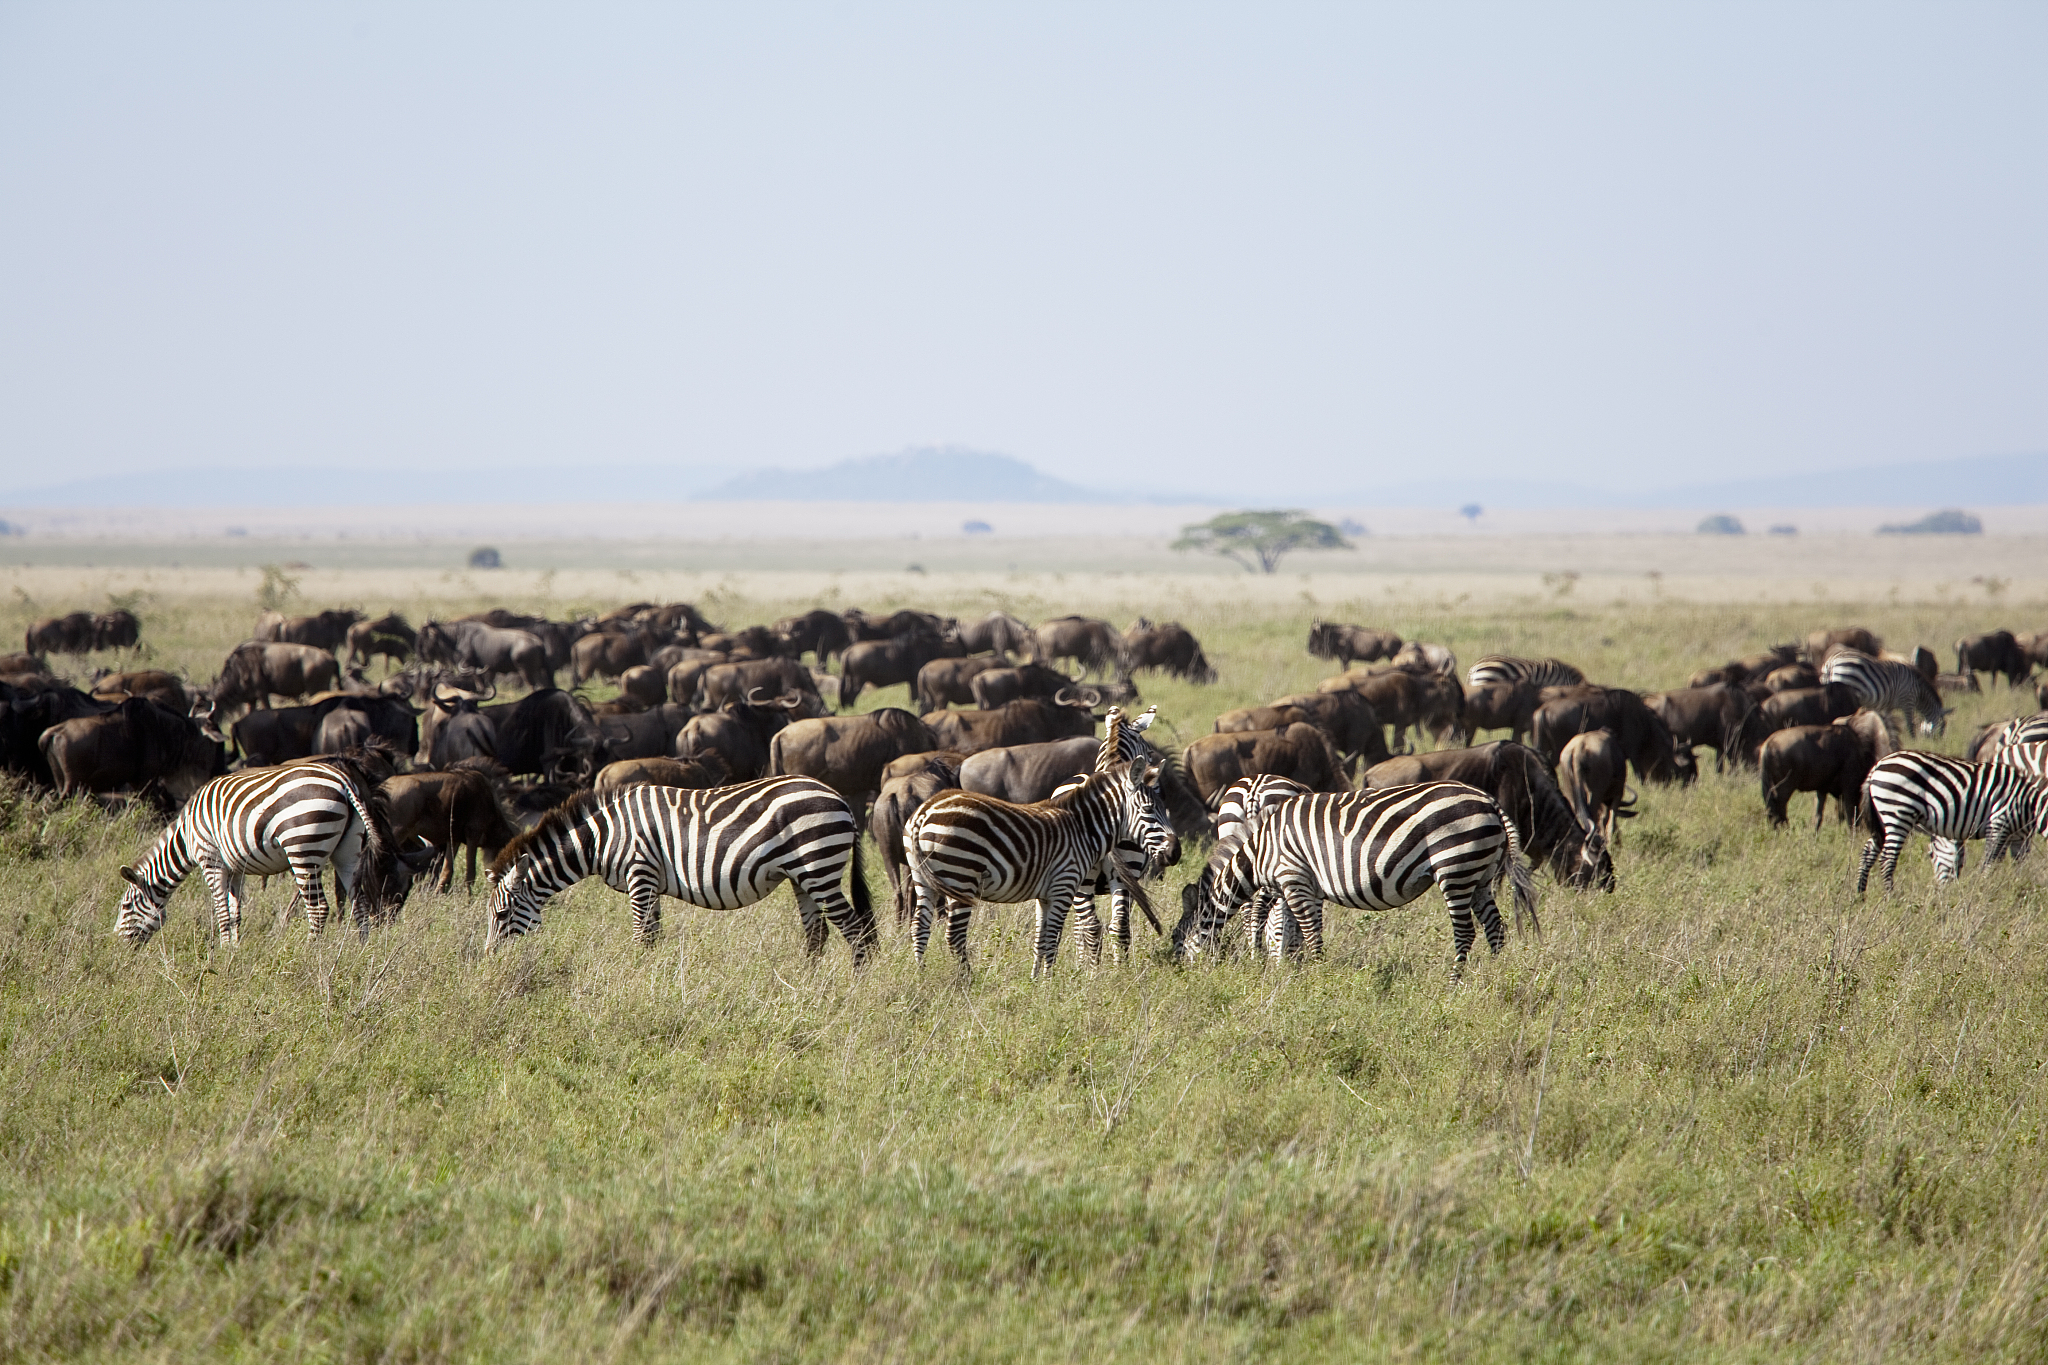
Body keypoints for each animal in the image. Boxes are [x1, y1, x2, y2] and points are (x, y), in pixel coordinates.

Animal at [116, 757, 405, 946]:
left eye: (126, 905)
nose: (118, 945)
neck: (187, 836)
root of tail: (343, 780)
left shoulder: (211, 859)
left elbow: (221, 910)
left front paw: (222, 953)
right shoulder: (235, 867)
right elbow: (235, 912)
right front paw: (234, 950)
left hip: (304, 848)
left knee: (318, 908)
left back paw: (311, 953)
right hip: (347, 852)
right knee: (359, 902)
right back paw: (362, 950)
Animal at [484, 776, 876, 960]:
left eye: (502, 915)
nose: (490, 961)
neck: (603, 837)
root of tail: (839, 798)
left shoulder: (640, 871)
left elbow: (641, 936)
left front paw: (636, 981)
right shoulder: (651, 881)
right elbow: (653, 935)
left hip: (818, 868)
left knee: (856, 932)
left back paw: (851, 990)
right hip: (802, 876)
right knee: (817, 935)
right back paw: (808, 987)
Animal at [904, 755, 1176, 975]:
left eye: (1165, 807)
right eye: (1149, 809)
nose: (1175, 853)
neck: (1082, 828)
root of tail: (924, 811)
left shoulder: (1045, 895)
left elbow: (1040, 940)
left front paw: (1036, 981)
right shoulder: (1063, 886)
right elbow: (1053, 940)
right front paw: (1049, 984)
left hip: (923, 880)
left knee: (919, 928)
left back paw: (921, 975)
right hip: (961, 876)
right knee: (955, 936)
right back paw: (967, 982)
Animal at [1170, 782, 1538, 973]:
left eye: (1177, 940)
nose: (1180, 977)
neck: (1262, 848)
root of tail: (1489, 800)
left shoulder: (1295, 879)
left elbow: (1307, 934)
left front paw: (1316, 979)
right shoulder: (1303, 887)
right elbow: (1289, 929)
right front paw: (1288, 970)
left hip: (1456, 866)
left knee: (1465, 932)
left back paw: (1454, 985)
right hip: (1480, 874)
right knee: (1495, 927)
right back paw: (1493, 978)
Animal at [1854, 751, 2048, 893]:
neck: (2030, 803)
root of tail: (1877, 766)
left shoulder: (2018, 836)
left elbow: (2017, 863)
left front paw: (2017, 887)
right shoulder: (1999, 822)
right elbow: (1989, 861)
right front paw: (1983, 889)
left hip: (1882, 820)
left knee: (1868, 851)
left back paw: (1860, 895)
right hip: (1898, 812)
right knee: (1887, 859)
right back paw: (1891, 898)